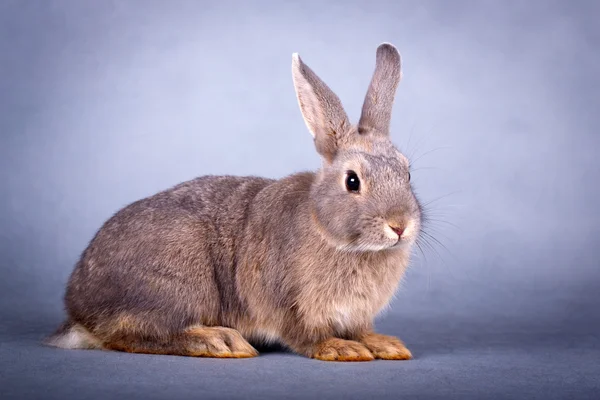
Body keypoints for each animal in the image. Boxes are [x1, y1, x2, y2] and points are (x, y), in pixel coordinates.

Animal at [45, 42, 422, 360]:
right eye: (352, 181)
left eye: (407, 174)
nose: (399, 226)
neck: (332, 233)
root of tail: (79, 309)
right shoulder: (288, 302)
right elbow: (306, 336)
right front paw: (342, 349)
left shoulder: (355, 316)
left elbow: (361, 330)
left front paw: (385, 345)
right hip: (182, 281)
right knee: (133, 335)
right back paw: (219, 341)